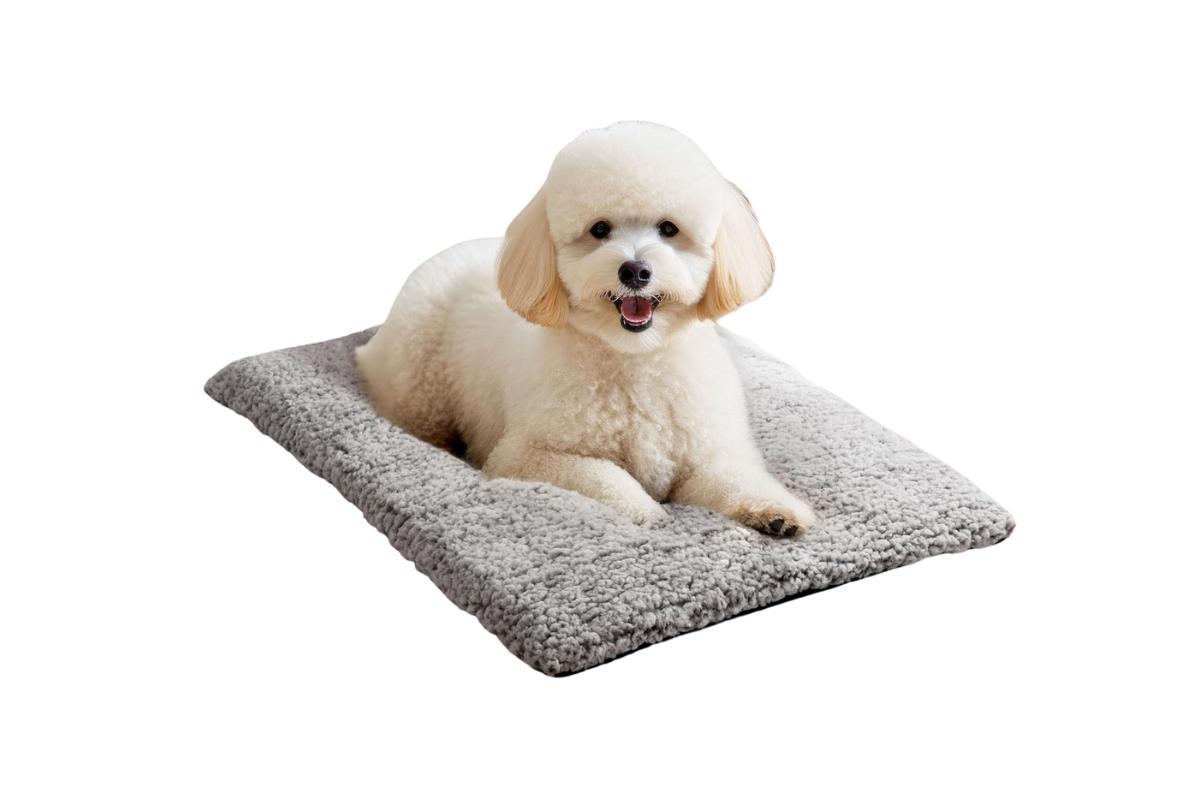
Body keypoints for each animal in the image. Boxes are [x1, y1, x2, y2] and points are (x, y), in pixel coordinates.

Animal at [356, 121, 818, 535]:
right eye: (599, 230)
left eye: (669, 228)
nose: (634, 270)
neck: (636, 361)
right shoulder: (526, 456)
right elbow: (602, 476)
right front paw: (644, 510)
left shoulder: (706, 453)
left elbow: (732, 478)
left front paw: (777, 511)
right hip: (418, 380)